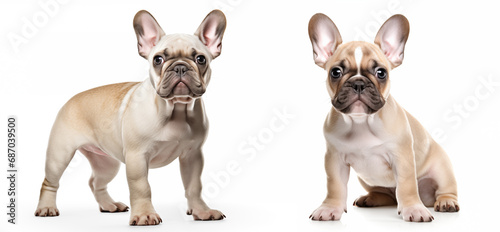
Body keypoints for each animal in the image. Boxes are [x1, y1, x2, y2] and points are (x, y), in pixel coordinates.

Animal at [36, 10, 228, 226]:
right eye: (158, 60)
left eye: (201, 59)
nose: (180, 67)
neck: (176, 109)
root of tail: (71, 99)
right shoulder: (137, 156)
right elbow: (141, 186)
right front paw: (145, 214)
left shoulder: (192, 155)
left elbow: (194, 186)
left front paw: (201, 211)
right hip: (59, 154)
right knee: (50, 182)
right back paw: (46, 208)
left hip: (107, 163)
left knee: (95, 182)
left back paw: (109, 205)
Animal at [308, 13, 460, 223]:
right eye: (335, 72)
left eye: (381, 73)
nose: (358, 83)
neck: (361, 122)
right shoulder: (334, 159)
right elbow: (335, 185)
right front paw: (329, 208)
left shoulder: (402, 157)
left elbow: (407, 185)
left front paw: (414, 209)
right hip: (368, 180)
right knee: (387, 196)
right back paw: (370, 198)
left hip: (442, 169)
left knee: (443, 189)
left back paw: (446, 202)